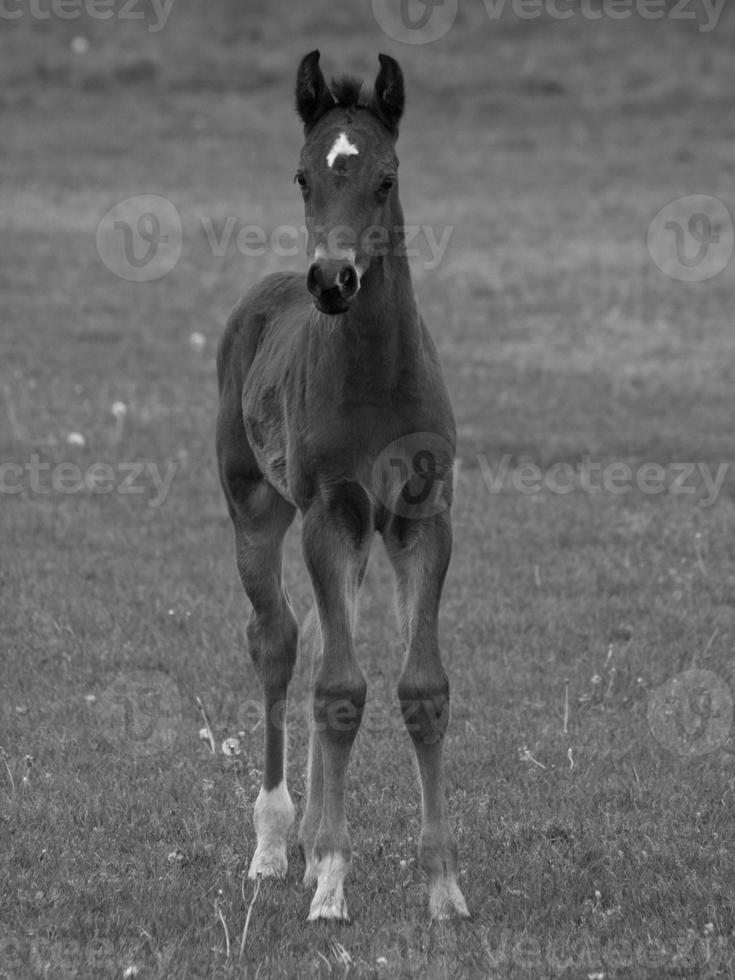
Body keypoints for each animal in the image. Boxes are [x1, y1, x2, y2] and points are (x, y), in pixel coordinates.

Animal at [216, 49, 468, 924]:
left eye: (386, 178)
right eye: (302, 176)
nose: (332, 279)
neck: (378, 379)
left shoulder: (421, 518)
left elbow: (419, 689)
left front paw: (443, 886)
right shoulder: (332, 511)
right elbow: (336, 690)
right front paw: (329, 879)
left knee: (330, 645)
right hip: (256, 507)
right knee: (280, 644)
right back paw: (273, 846)